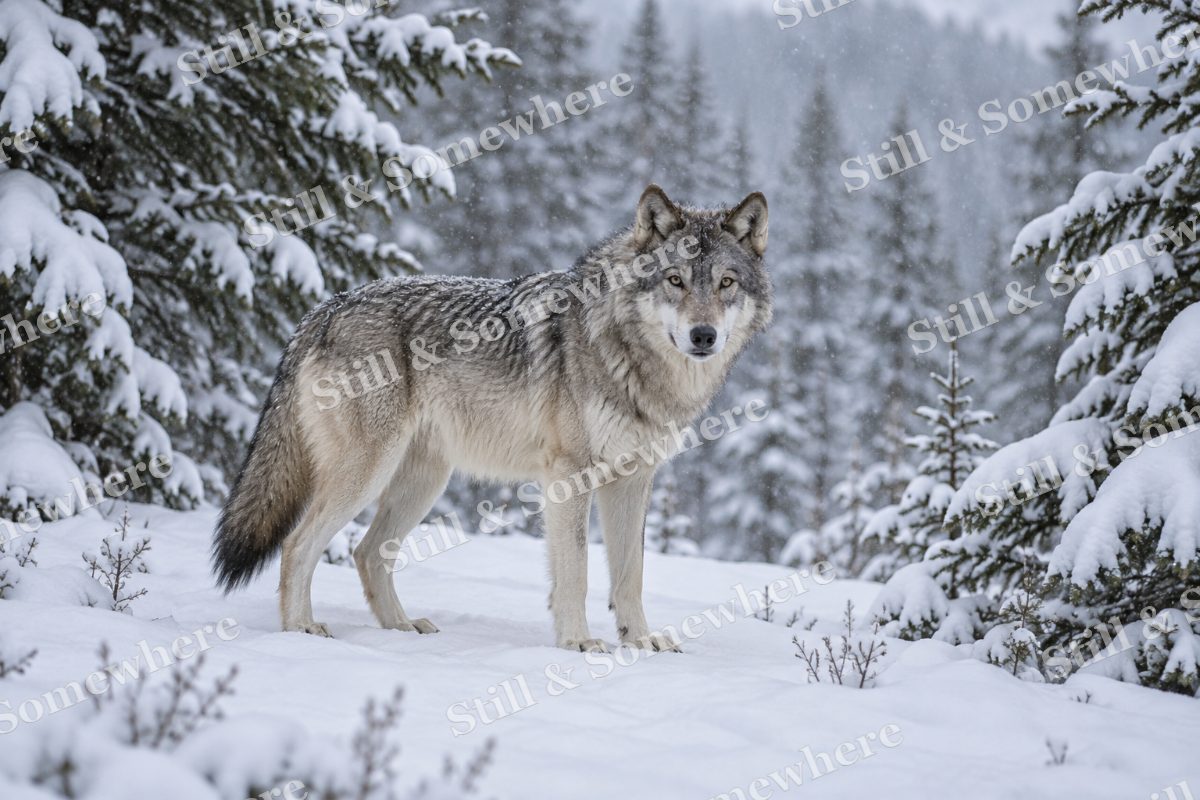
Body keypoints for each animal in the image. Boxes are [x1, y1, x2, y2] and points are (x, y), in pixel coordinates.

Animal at [213, 185, 771, 651]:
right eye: (675, 280)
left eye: (726, 283)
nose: (703, 336)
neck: (629, 357)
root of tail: (322, 310)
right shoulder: (569, 475)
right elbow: (577, 571)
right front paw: (579, 643)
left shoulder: (633, 479)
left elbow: (630, 575)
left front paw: (641, 642)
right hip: (367, 473)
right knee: (297, 545)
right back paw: (302, 631)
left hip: (422, 481)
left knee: (368, 553)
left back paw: (401, 629)